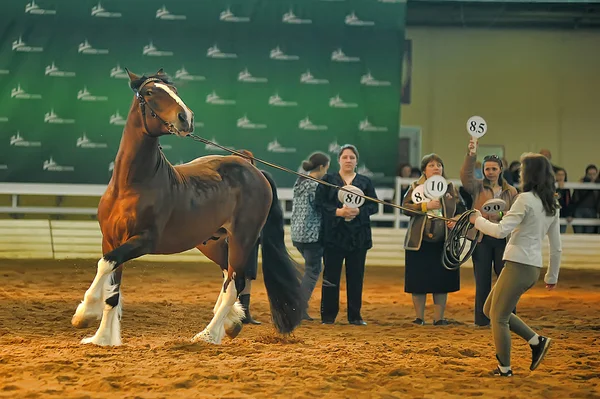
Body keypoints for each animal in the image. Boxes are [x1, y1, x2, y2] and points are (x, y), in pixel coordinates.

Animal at [70, 69, 304, 346]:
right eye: (150, 92)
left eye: (175, 91)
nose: (186, 118)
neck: (131, 184)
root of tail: (252, 168)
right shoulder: (111, 240)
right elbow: (111, 288)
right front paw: (102, 338)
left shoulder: (143, 241)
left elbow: (105, 265)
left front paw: (84, 314)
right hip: (213, 242)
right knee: (227, 276)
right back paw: (232, 322)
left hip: (243, 239)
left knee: (235, 282)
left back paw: (208, 334)